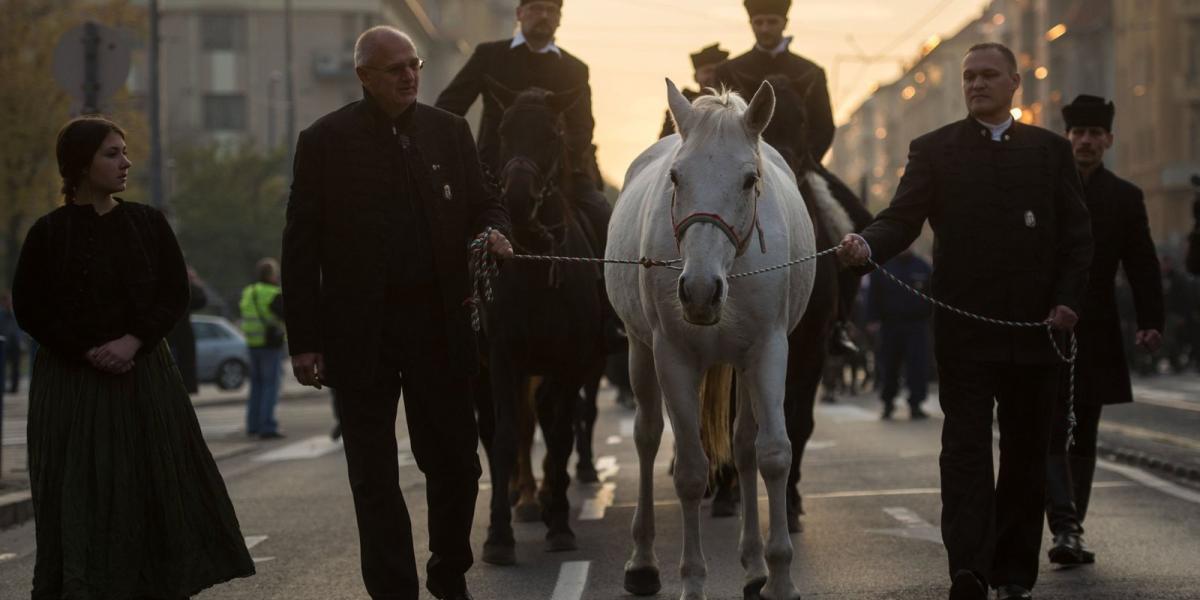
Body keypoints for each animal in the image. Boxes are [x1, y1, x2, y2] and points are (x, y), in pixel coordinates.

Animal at [475, 81, 609, 566]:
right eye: (503, 132)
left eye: (552, 136)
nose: (515, 201)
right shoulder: (502, 358)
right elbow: (506, 437)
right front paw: (498, 536)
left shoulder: (570, 362)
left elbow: (560, 432)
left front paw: (560, 523)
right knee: (501, 427)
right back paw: (526, 498)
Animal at [609, 81, 816, 600]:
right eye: (676, 178)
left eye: (748, 180)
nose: (699, 291)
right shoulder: (673, 357)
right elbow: (689, 470)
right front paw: (692, 580)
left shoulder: (768, 351)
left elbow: (773, 454)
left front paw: (779, 576)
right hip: (640, 351)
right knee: (647, 436)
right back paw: (642, 561)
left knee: (743, 448)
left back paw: (755, 567)